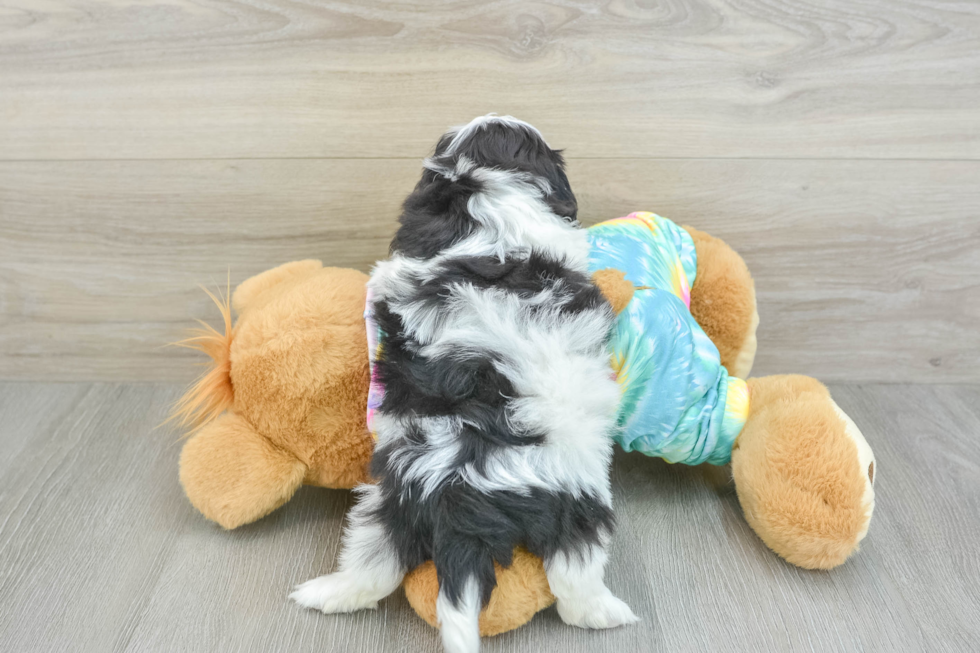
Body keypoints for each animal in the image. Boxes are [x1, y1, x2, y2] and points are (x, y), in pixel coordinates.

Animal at [290, 114, 640, 648]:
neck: (487, 213)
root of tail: (461, 494)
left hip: (388, 502)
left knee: (373, 565)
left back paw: (324, 593)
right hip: (578, 499)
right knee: (575, 575)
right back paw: (608, 612)